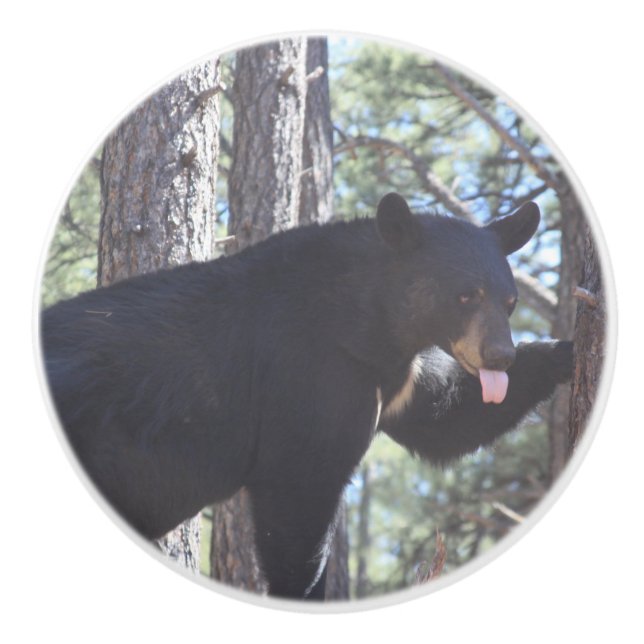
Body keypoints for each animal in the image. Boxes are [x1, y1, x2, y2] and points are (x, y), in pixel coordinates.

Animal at [41, 192, 572, 600]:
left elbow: (444, 419)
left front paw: (563, 351)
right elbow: (300, 488)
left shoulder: (396, 377)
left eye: (510, 302)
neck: (368, 323)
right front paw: (303, 592)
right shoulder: (308, 373)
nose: (499, 357)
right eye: (464, 295)